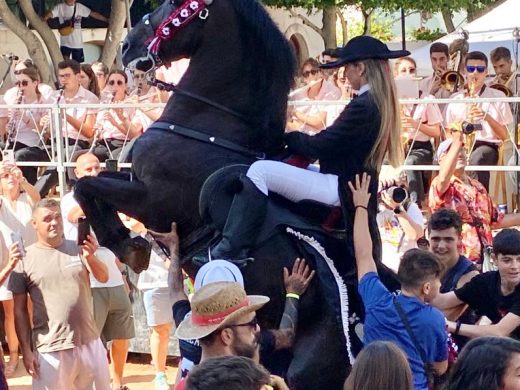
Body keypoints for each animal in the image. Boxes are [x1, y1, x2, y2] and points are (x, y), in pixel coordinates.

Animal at [74, 0, 366, 386]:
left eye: (172, 4)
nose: (127, 46)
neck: (210, 128)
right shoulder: (134, 182)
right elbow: (89, 184)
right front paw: (126, 242)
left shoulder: (154, 201)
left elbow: (85, 186)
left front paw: (127, 244)